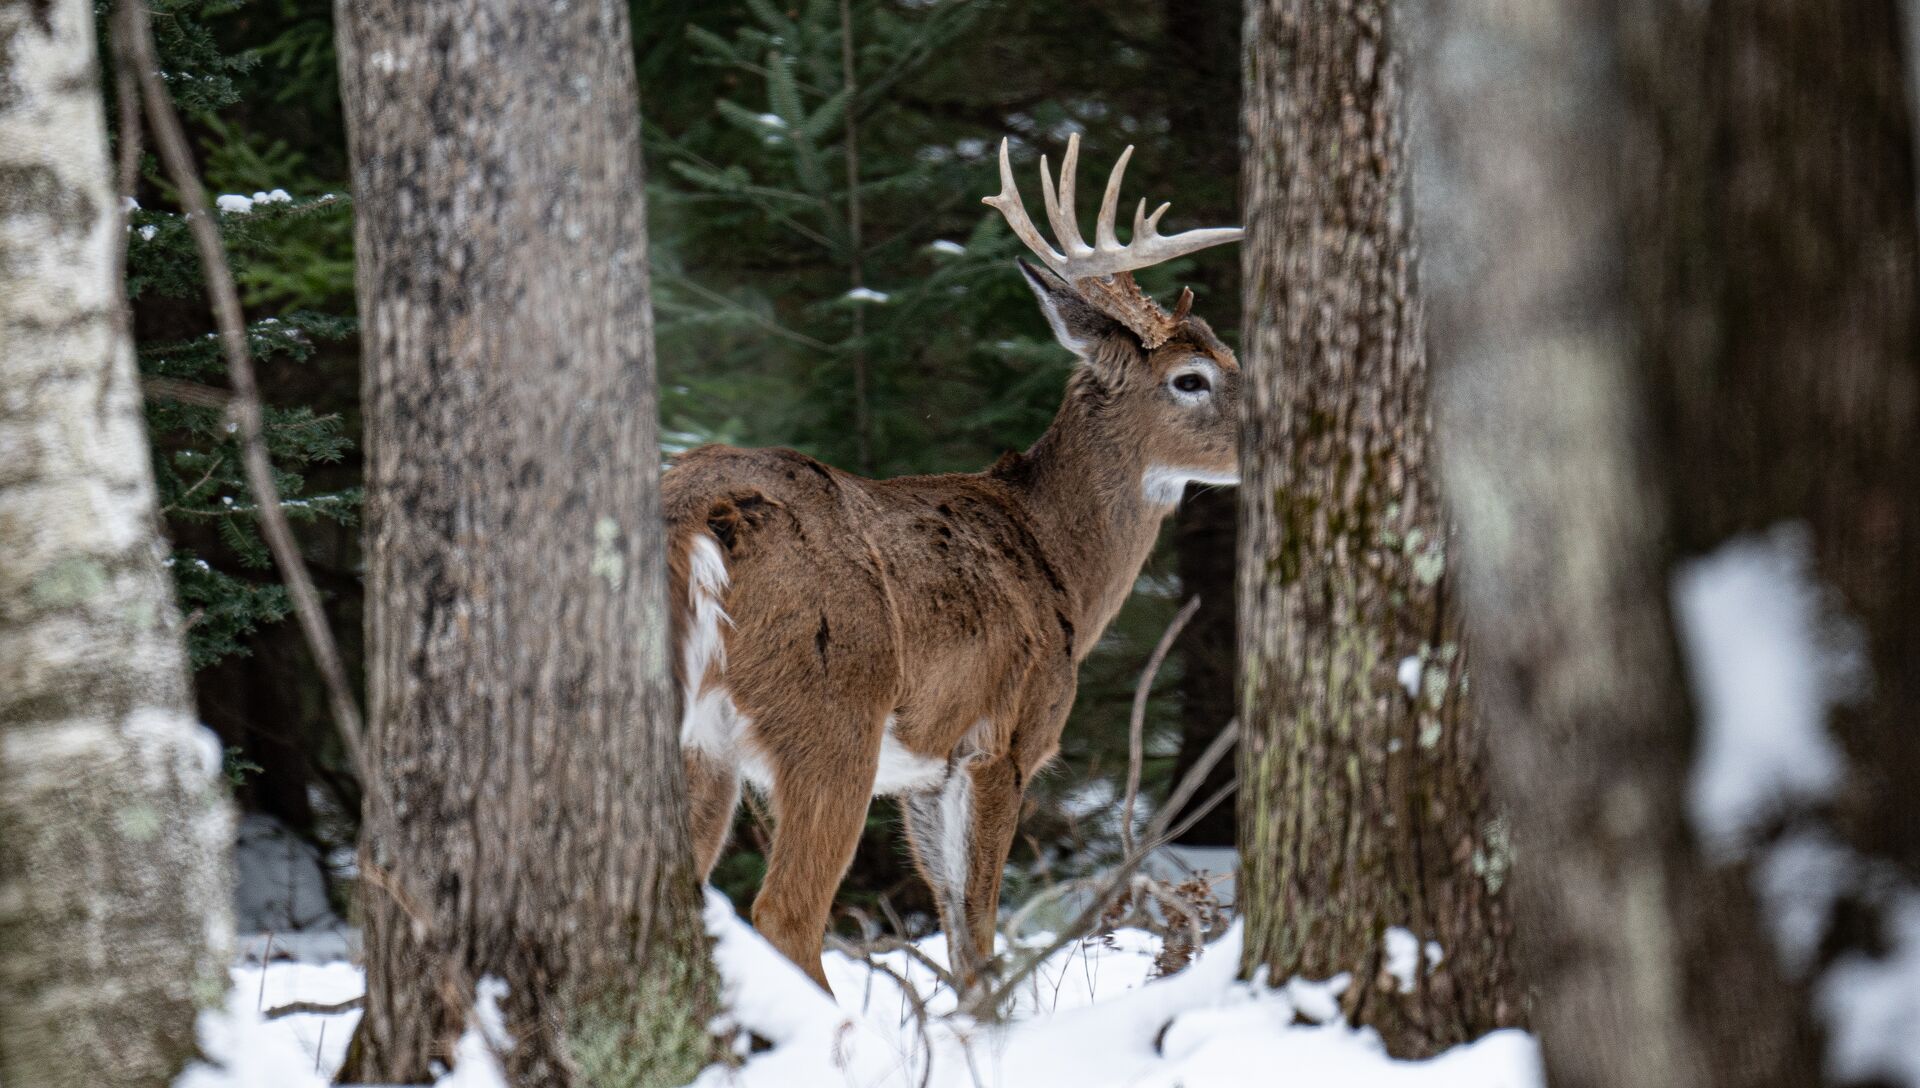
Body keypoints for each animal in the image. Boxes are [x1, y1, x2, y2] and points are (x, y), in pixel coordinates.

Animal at [663, 134, 1242, 992]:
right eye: (1190, 378)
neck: (1060, 559)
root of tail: (694, 512)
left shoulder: (923, 774)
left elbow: (957, 930)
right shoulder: (1004, 738)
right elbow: (979, 932)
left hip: (700, 738)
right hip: (830, 712)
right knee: (786, 916)